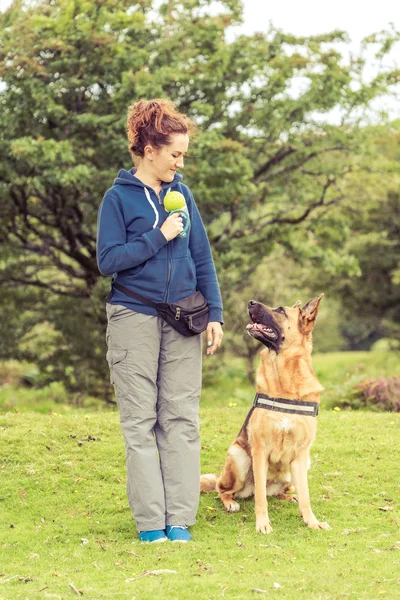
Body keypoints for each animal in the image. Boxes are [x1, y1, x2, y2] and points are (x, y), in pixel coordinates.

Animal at [202, 292, 330, 532]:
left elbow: (306, 495)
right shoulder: (260, 451)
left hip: (299, 467)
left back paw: (289, 497)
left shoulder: (301, 454)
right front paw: (262, 523)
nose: (250, 302)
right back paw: (230, 502)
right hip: (239, 458)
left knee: (282, 491)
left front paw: (312, 521)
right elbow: (260, 497)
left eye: (280, 310)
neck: (285, 382)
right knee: (223, 489)